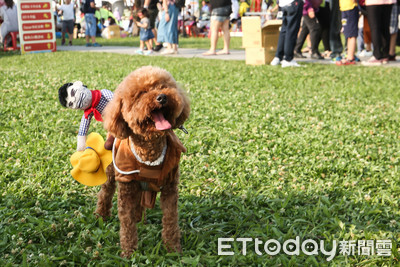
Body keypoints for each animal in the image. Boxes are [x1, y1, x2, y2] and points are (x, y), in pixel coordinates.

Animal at [96, 66, 191, 258]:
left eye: (163, 86)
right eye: (141, 93)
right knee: (105, 192)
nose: (162, 97)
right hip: (111, 173)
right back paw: (101, 215)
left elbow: (170, 220)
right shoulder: (125, 186)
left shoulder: (170, 188)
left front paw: (173, 250)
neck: (150, 151)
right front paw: (129, 253)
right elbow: (127, 223)